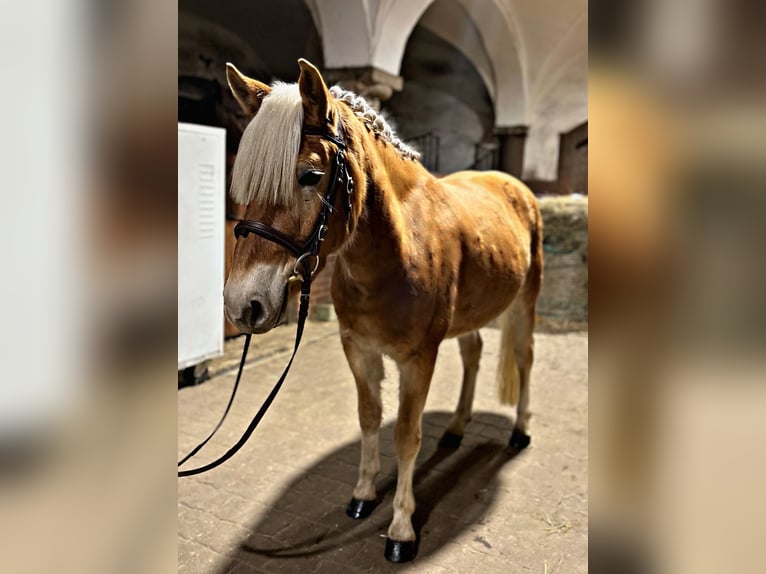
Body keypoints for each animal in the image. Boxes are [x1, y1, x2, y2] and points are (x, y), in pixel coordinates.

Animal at [222, 60, 544, 564]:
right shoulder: (359, 349)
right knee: (473, 352)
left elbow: (406, 436)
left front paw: (401, 528)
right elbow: (370, 417)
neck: (397, 252)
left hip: (523, 302)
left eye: (310, 175)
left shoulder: (418, 360)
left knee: (525, 357)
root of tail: (513, 185)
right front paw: (363, 494)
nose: (242, 304)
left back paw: (520, 430)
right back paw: (456, 428)